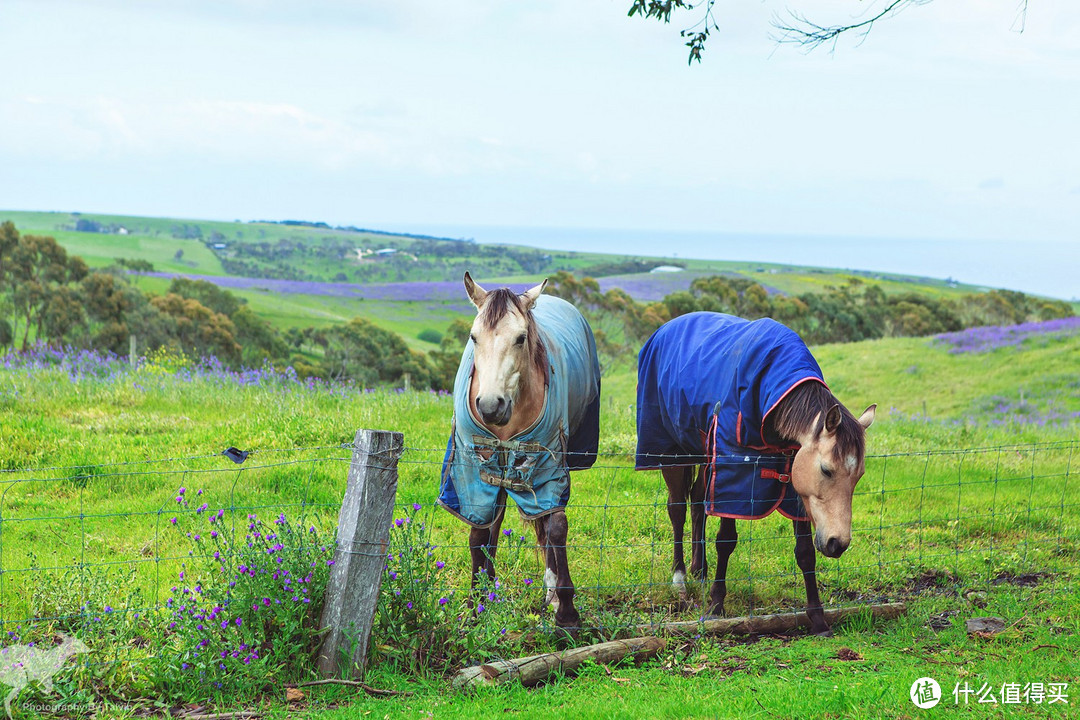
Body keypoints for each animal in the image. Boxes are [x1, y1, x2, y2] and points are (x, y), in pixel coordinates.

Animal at [442, 273, 604, 626]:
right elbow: (479, 531)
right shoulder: (473, 468)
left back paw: (550, 593)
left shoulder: (548, 465)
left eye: (520, 338)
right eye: (473, 337)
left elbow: (555, 526)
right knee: (495, 519)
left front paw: (566, 610)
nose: (490, 406)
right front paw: (476, 602)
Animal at [635, 313, 872, 634]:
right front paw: (716, 605)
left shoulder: (795, 483)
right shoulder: (733, 469)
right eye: (826, 469)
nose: (838, 544)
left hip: (705, 452)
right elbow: (725, 541)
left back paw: (700, 569)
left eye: (858, 476)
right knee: (677, 508)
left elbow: (805, 552)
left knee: (697, 500)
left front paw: (818, 617)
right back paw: (680, 579)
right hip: (672, 452)